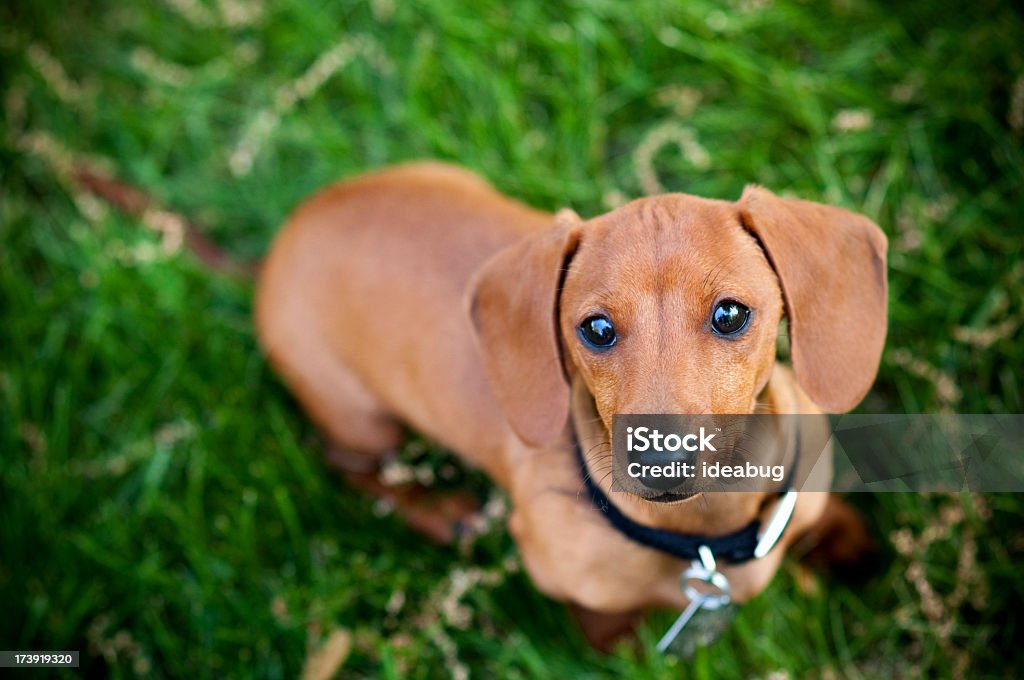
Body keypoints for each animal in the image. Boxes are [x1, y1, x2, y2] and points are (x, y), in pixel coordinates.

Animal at [256, 161, 888, 651]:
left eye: (730, 314)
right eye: (597, 329)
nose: (661, 462)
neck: (706, 534)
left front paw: (843, 537)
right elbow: (602, 620)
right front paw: (618, 640)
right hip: (359, 419)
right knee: (353, 466)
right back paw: (440, 511)